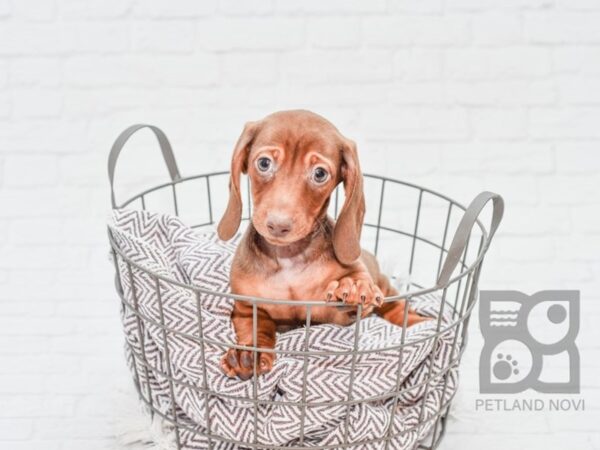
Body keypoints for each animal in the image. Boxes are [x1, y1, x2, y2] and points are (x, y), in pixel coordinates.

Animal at [216, 110, 426, 380]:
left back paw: (418, 321)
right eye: (263, 163)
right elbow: (255, 328)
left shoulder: (335, 318)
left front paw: (354, 285)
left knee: (396, 306)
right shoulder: (246, 306)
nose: (278, 225)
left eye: (319, 174)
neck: (289, 260)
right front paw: (248, 355)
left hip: (384, 285)